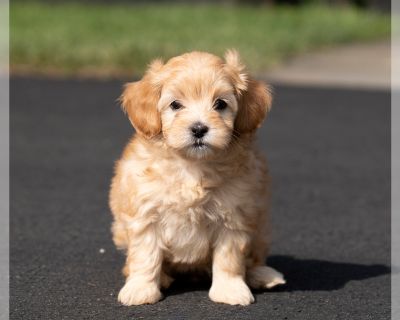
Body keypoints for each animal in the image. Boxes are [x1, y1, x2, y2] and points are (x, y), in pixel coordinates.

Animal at [109, 50, 284, 308]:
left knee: (254, 258)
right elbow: (145, 255)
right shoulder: (144, 214)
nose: (199, 129)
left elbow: (229, 259)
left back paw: (263, 275)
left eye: (220, 104)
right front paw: (141, 289)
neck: (192, 166)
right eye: (175, 105)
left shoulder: (234, 216)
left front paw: (230, 290)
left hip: (260, 229)